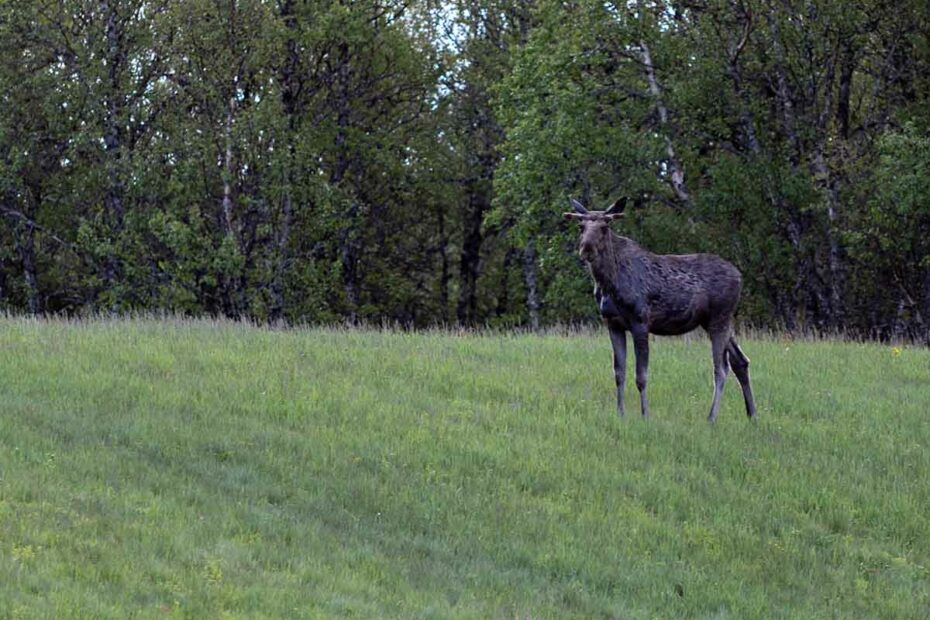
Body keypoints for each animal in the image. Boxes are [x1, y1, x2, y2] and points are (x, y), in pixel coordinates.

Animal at [564, 199, 752, 422]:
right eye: (580, 226)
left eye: (604, 227)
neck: (606, 282)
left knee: (721, 368)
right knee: (741, 361)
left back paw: (711, 418)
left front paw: (645, 415)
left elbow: (641, 376)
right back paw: (752, 415)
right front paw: (620, 414)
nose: (587, 249)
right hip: (714, 322)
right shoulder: (613, 324)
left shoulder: (640, 321)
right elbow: (619, 374)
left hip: (719, 319)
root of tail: (740, 277)